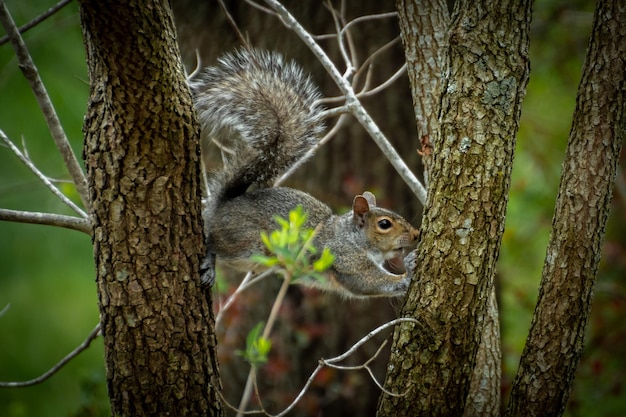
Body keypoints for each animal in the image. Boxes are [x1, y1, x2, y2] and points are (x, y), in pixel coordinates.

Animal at [188, 48, 416, 296]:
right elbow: (369, 282)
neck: (352, 237)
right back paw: (209, 263)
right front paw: (405, 276)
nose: (416, 234)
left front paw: (409, 262)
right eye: (384, 224)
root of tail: (221, 205)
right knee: (214, 243)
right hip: (246, 240)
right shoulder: (346, 260)